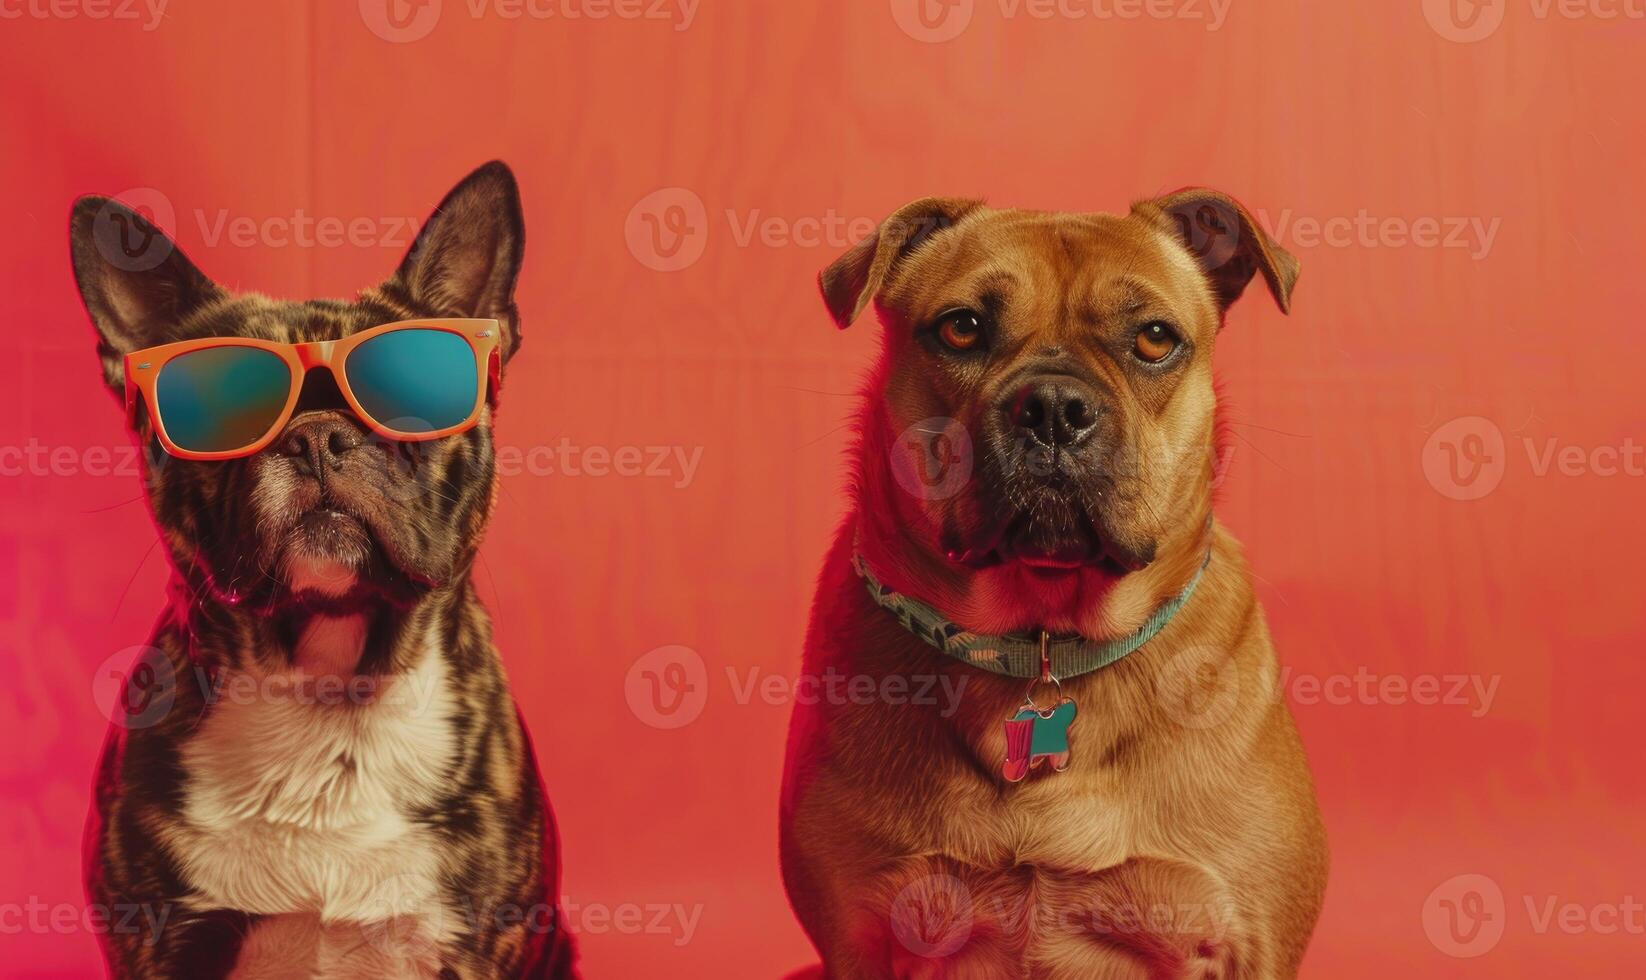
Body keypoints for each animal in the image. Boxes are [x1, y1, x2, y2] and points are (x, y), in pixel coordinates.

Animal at [776, 187, 1329, 975]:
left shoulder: (1249, 942)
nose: (1054, 409)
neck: (1042, 636)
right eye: (962, 328)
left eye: (1155, 338)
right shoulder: (858, 938)